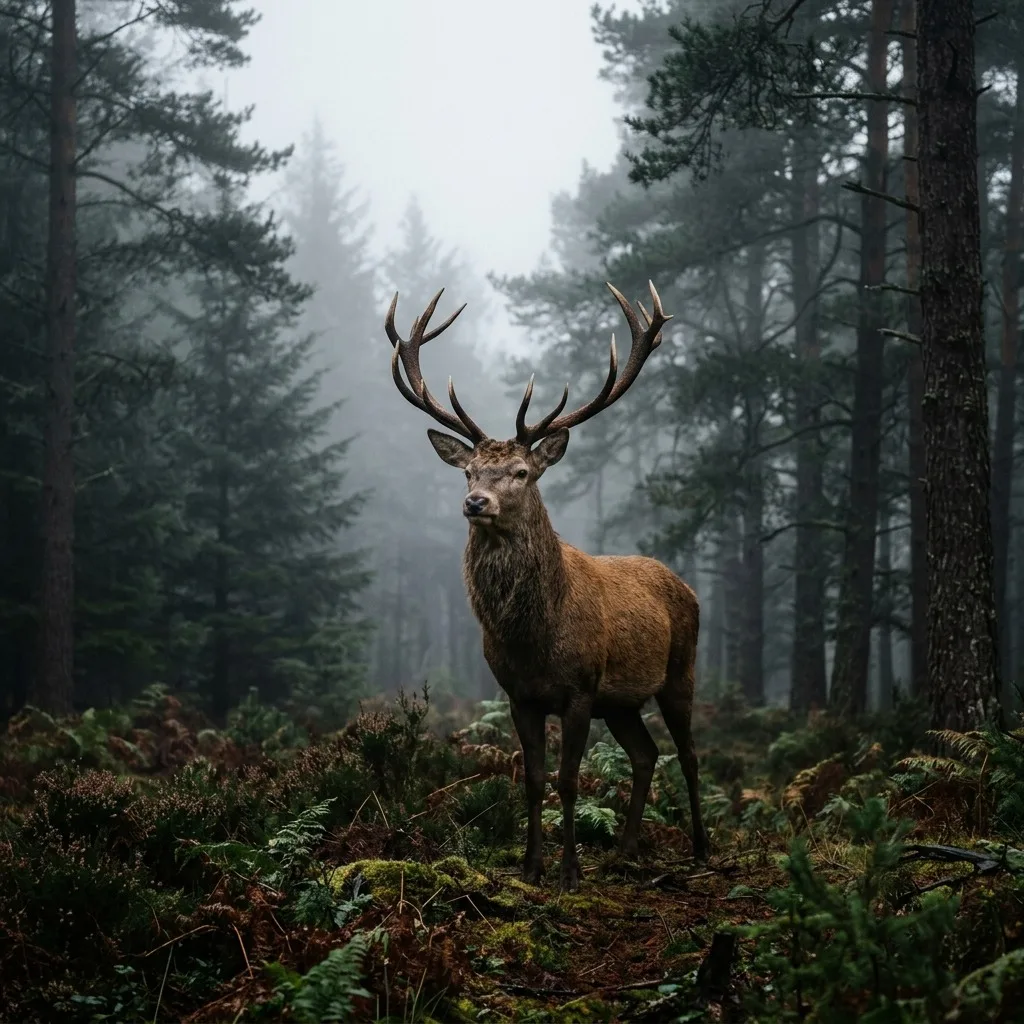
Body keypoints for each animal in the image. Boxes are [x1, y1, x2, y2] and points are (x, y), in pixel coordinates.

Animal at [383, 281, 710, 891]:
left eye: (521, 473)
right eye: (468, 472)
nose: (475, 503)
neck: (533, 637)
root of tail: (686, 585)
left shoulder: (579, 689)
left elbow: (569, 779)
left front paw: (570, 872)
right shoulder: (520, 695)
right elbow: (534, 778)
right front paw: (532, 866)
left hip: (681, 669)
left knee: (690, 753)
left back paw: (701, 849)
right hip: (620, 702)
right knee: (646, 754)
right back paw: (626, 851)